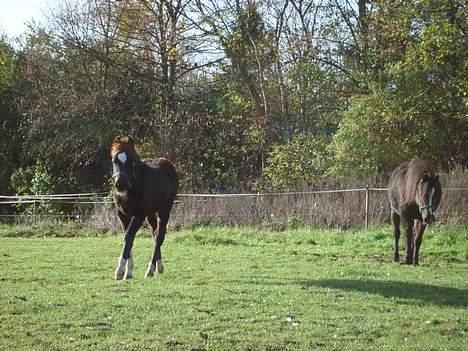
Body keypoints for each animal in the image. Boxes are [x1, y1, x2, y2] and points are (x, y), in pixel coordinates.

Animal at [110, 135, 178, 280]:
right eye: (114, 160)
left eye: (131, 161)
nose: (120, 183)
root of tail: (167, 163)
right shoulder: (122, 215)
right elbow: (127, 238)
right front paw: (128, 271)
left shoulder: (139, 214)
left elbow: (129, 236)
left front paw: (120, 271)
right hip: (150, 213)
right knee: (155, 233)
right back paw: (159, 266)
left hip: (164, 209)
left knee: (159, 236)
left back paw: (150, 270)